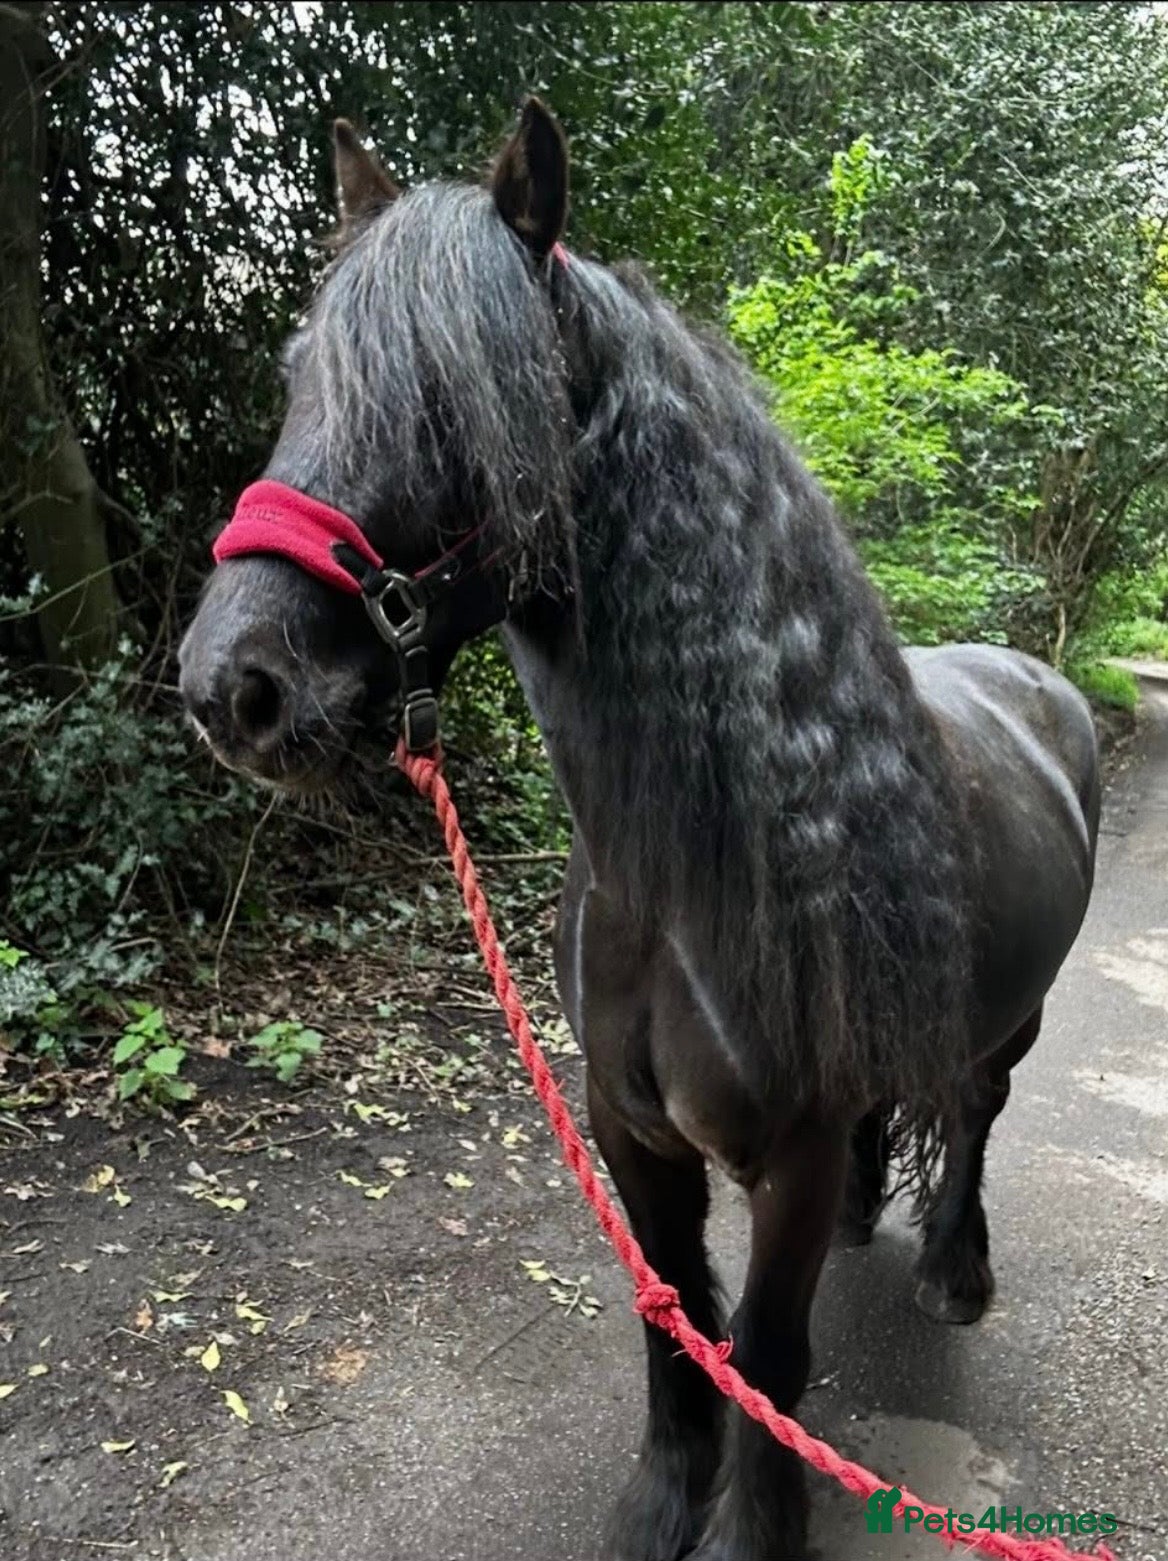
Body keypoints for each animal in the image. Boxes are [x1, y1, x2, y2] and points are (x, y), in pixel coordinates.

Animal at [179, 101, 1100, 1561]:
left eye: (457, 397)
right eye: (298, 376)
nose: (235, 688)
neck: (691, 881)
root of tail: (1036, 682)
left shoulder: (780, 1158)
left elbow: (767, 1352)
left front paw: (748, 1531)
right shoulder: (629, 1133)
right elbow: (676, 1330)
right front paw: (661, 1506)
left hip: (1008, 1024)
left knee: (973, 1114)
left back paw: (956, 1266)